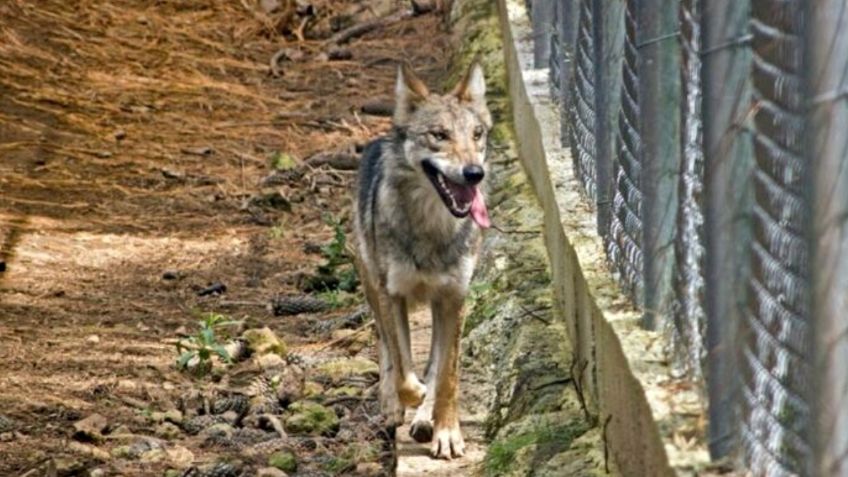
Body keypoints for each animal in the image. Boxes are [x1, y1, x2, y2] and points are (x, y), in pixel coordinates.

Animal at [354, 63, 490, 458]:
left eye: (477, 134)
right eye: (439, 135)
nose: (475, 173)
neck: (432, 231)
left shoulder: (455, 298)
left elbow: (446, 375)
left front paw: (446, 432)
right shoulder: (392, 295)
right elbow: (403, 368)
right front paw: (408, 397)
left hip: (437, 304)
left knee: (431, 361)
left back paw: (425, 418)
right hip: (371, 285)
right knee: (385, 345)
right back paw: (392, 407)